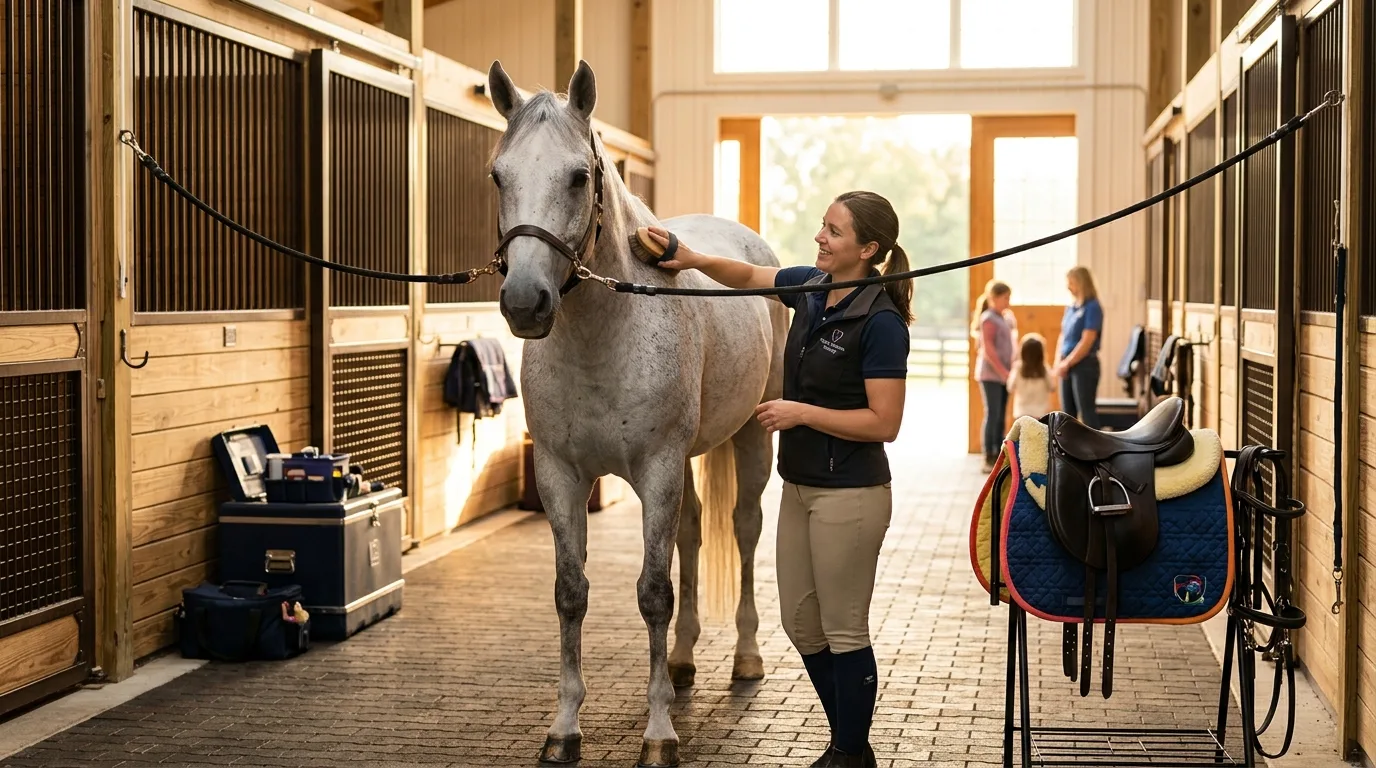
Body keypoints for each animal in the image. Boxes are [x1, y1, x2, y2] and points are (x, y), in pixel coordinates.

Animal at [484, 59, 788, 767]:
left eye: (578, 175)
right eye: (498, 175)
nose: (525, 302)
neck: (604, 334)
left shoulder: (656, 469)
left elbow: (653, 592)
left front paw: (658, 735)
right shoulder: (562, 476)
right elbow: (571, 593)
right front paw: (564, 727)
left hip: (750, 440)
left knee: (745, 528)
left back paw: (747, 657)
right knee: (693, 533)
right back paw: (681, 663)